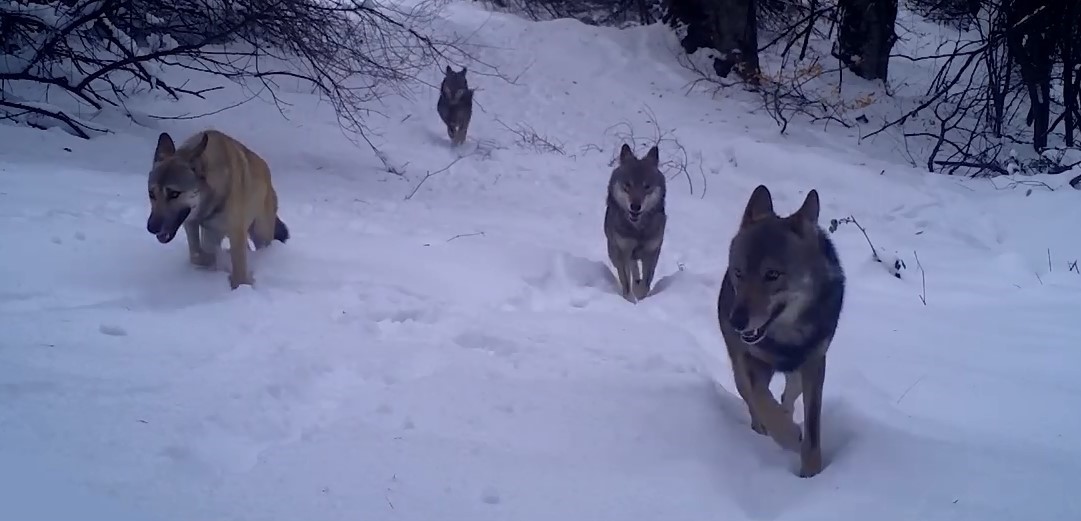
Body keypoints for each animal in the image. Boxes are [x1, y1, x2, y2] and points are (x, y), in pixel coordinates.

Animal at [148, 129, 294, 289]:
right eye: (151, 194)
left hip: (260, 233)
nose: (151, 228)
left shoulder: (236, 231)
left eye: (174, 193)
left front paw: (241, 286)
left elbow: (239, 271)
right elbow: (197, 255)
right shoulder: (192, 224)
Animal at [601, 144, 665, 302]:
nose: (635, 206)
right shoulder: (621, 251)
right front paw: (629, 300)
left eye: (646, 186)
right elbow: (626, 281)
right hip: (614, 252)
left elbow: (645, 283)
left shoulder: (652, 251)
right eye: (628, 185)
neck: (638, 229)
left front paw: (641, 296)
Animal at [717, 182, 843, 475]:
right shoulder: (750, 362)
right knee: (753, 399)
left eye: (772, 275)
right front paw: (787, 435)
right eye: (738, 273)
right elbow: (762, 400)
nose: (735, 321)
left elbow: (812, 430)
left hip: (800, 373)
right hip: (739, 367)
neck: (787, 337)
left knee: (788, 394)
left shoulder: (815, 364)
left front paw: (812, 473)